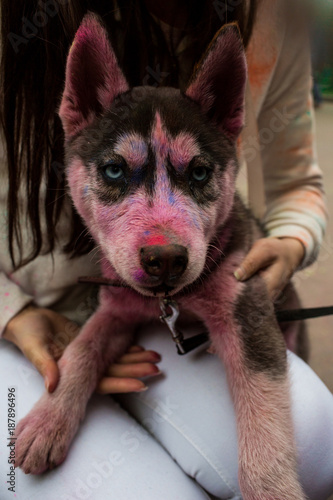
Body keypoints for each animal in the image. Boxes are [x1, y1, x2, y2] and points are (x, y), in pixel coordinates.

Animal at [14, 11, 304, 500]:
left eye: (200, 173)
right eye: (114, 170)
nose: (165, 258)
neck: (171, 303)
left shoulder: (247, 313)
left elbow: (265, 427)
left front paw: (273, 489)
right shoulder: (115, 307)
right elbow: (82, 348)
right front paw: (48, 419)